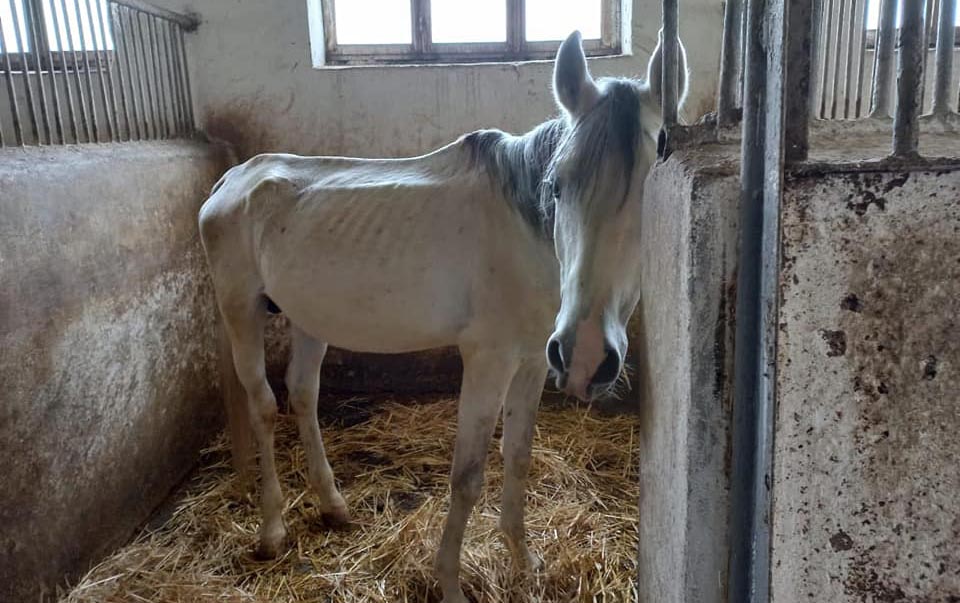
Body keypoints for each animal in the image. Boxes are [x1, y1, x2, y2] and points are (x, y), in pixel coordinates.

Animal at [199, 30, 688, 600]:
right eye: (557, 185)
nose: (587, 357)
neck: (523, 231)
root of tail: (231, 180)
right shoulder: (488, 359)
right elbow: (468, 475)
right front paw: (451, 582)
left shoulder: (533, 360)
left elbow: (518, 458)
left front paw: (525, 562)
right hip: (241, 312)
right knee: (263, 406)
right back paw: (272, 530)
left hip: (309, 318)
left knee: (303, 393)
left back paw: (333, 506)